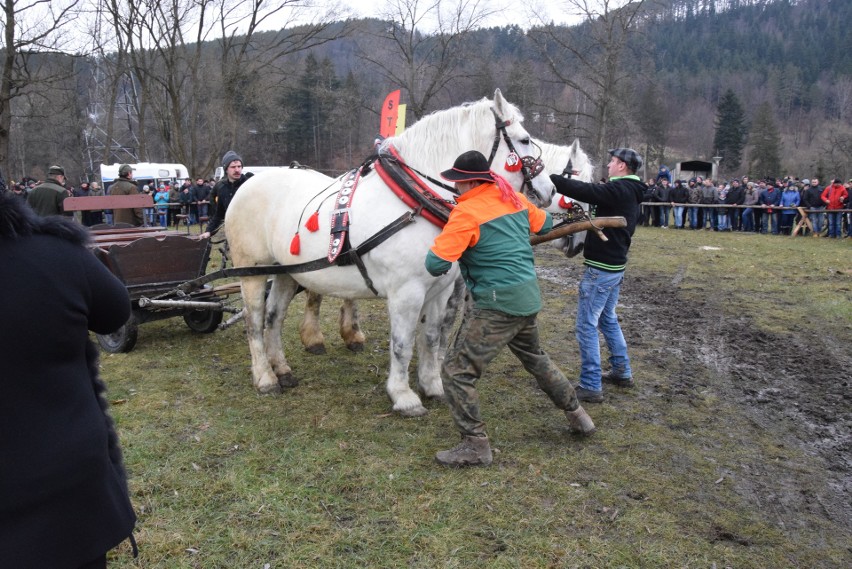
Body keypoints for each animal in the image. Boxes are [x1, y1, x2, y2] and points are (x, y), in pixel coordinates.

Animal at [225, 90, 552, 418]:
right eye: (524, 140)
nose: (549, 189)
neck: (413, 201)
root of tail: (249, 182)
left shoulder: (439, 291)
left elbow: (431, 337)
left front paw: (432, 385)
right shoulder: (406, 293)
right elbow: (402, 344)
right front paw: (403, 396)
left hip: (287, 272)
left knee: (274, 317)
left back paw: (282, 369)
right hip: (251, 270)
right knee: (254, 320)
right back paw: (265, 377)